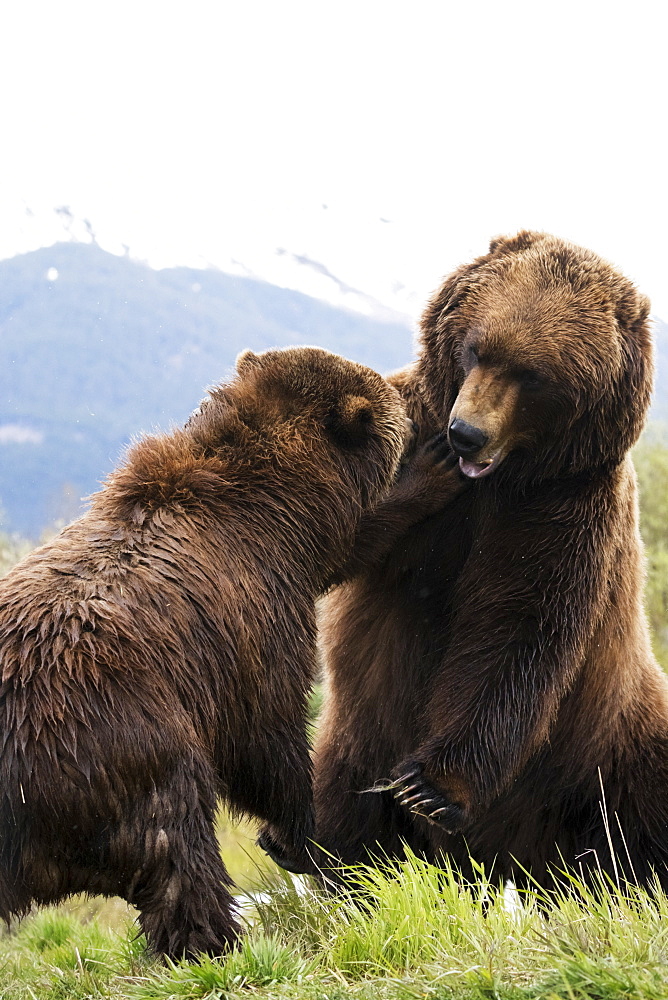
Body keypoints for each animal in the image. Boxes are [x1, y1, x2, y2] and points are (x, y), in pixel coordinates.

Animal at [0, 346, 464, 960]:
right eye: (395, 397)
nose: (411, 389)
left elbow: (350, 548)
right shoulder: (256, 613)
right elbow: (266, 734)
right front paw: (301, 828)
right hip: (124, 748)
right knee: (182, 856)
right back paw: (217, 941)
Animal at [310, 232, 668, 892]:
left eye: (533, 375)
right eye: (477, 349)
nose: (466, 433)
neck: (501, 479)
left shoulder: (564, 509)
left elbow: (516, 631)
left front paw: (430, 788)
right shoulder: (406, 431)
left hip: (611, 747)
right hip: (353, 733)